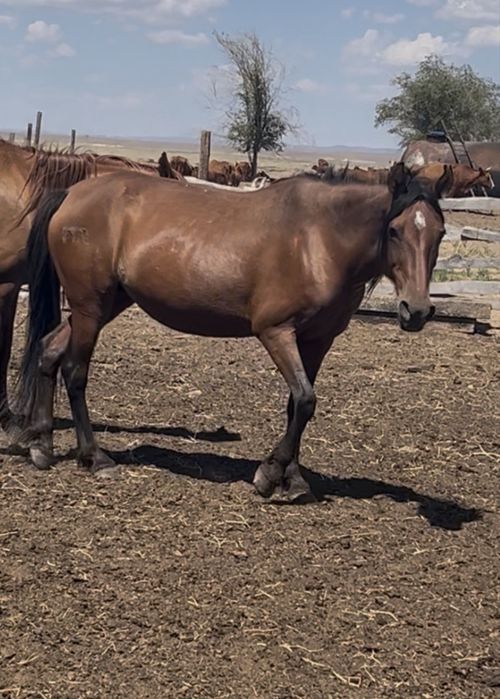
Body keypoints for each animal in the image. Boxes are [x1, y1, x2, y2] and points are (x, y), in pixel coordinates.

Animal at [15, 162, 451, 502]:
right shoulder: (276, 332)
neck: (320, 239)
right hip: (90, 307)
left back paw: (42, 446)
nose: (416, 311)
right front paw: (269, 475)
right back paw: (95, 457)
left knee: (48, 352)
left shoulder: (317, 341)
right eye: (394, 230)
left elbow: (297, 405)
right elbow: (305, 399)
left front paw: (293, 479)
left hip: (104, 306)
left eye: (440, 233)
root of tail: (71, 194)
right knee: (74, 372)